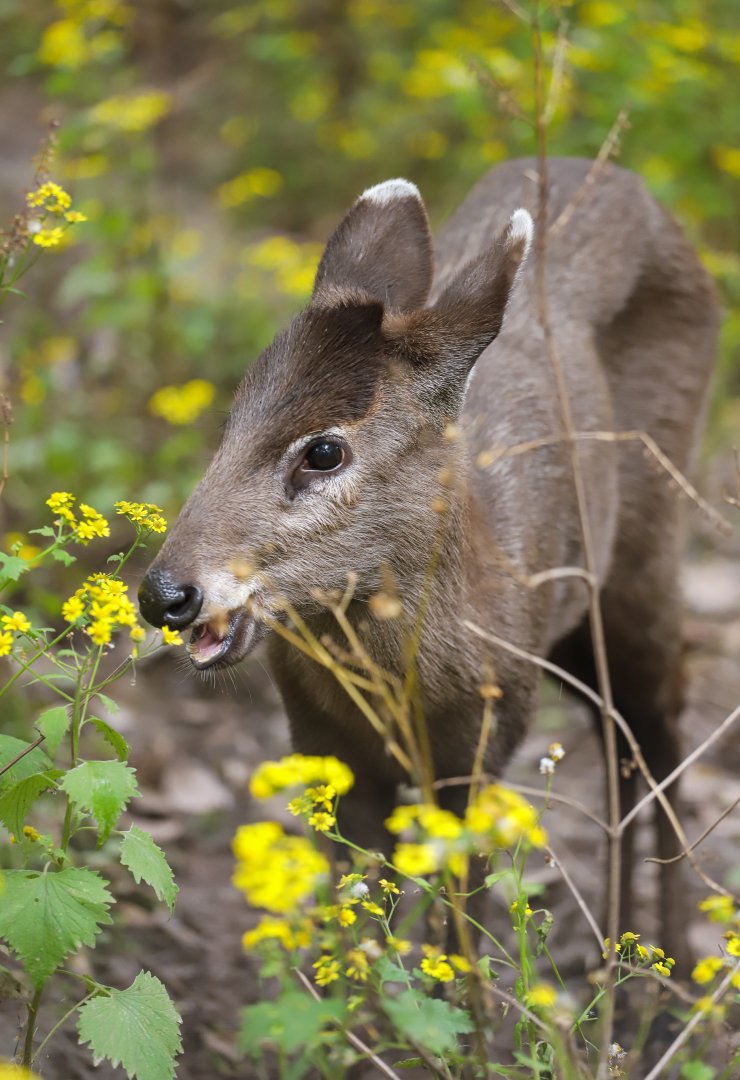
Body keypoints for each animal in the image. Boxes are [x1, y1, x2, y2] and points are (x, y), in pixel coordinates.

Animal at [138, 157, 718, 961]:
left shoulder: (482, 744)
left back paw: (662, 972)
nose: (166, 593)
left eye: (323, 450)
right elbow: (357, 913)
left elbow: (459, 924)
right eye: (230, 421)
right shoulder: (326, 747)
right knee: (618, 740)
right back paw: (617, 956)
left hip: (647, 546)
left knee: (660, 725)